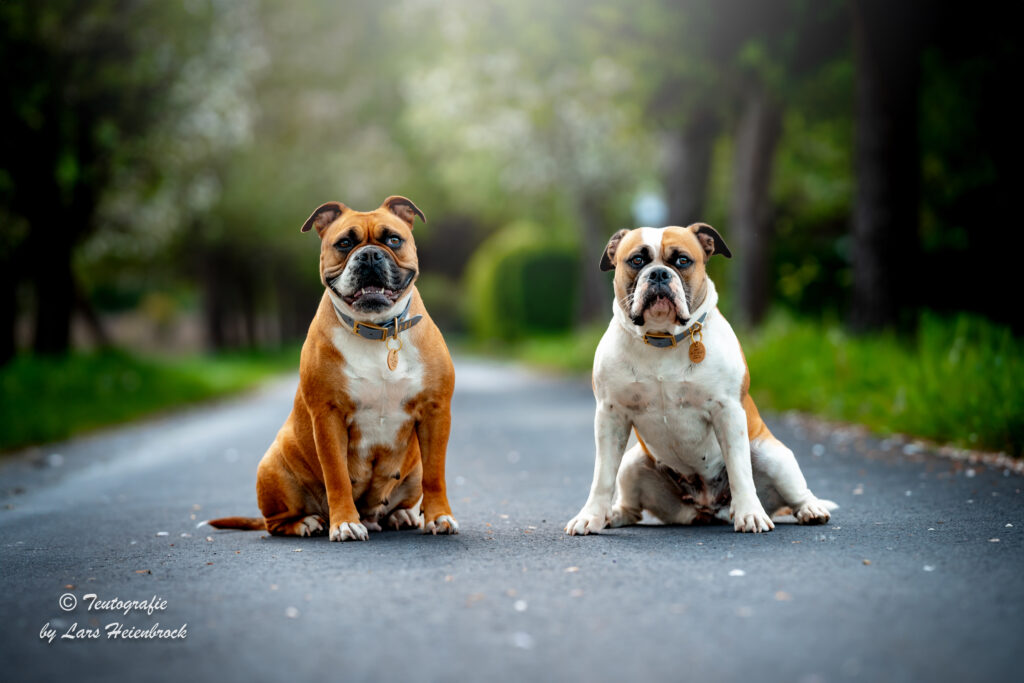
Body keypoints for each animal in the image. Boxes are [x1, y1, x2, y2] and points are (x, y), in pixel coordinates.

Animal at [205, 194, 458, 540]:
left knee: (397, 501)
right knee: (275, 522)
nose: (369, 255)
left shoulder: (435, 412)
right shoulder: (328, 416)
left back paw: (400, 515)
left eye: (393, 239)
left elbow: (436, 474)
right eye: (345, 243)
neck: (376, 330)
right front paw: (345, 523)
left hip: (412, 468)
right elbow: (337, 475)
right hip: (273, 466)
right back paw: (308, 523)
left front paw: (439, 517)